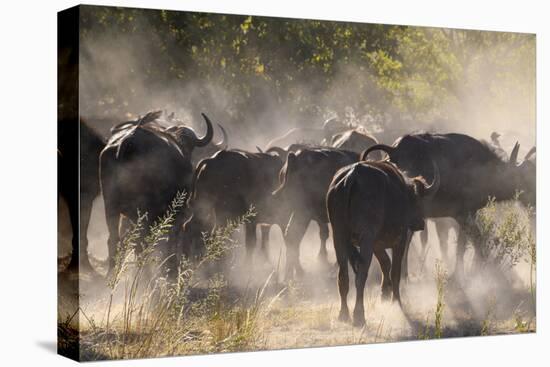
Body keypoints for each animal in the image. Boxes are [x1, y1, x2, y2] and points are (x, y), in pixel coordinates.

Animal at [328, 162, 440, 328]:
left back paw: (343, 314)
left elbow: (385, 263)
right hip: (365, 238)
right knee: (361, 276)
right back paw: (359, 316)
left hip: (339, 237)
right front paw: (396, 302)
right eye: (417, 199)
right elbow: (395, 272)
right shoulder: (399, 241)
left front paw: (384, 294)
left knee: (343, 276)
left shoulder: (377, 244)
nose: (420, 223)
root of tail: (352, 175)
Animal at [364, 134, 536, 280]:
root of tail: (394, 151)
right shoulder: (463, 214)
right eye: (526, 178)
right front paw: (474, 272)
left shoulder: (469, 214)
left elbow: (465, 243)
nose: (534, 202)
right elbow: (473, 242)